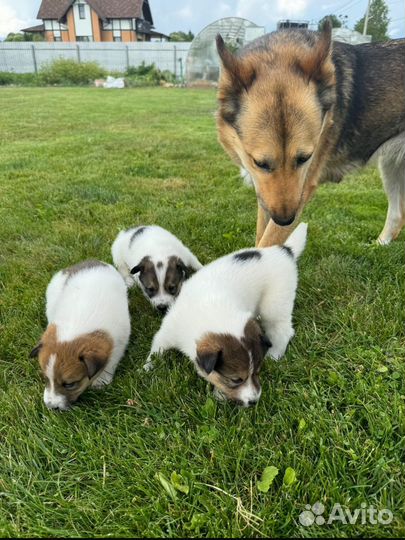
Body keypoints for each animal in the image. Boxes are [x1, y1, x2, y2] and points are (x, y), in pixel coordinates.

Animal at [30, 260, 130, 410]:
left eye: (70, 384)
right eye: (46, 379)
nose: (51, 407)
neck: (75, 325)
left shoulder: (119, 340)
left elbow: (111, 361)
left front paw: (101, 380)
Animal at [145, 223, 306, 404]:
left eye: (257, 371)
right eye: (235, 379)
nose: (254, 401)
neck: (208, 310)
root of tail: (284, 250)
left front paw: (220, 394)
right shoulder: (168, 331)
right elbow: (157, 348)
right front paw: (148, 366)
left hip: (275, 303)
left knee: (283, 330)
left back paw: (275, 354)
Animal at [216, 22, 404, 247]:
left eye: (305, 158)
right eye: (260, 163)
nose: (285, 220)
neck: (280, 51)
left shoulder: (303, 188)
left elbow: (266, 242)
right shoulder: (264, 192)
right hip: (390, 165)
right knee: (397, 216)